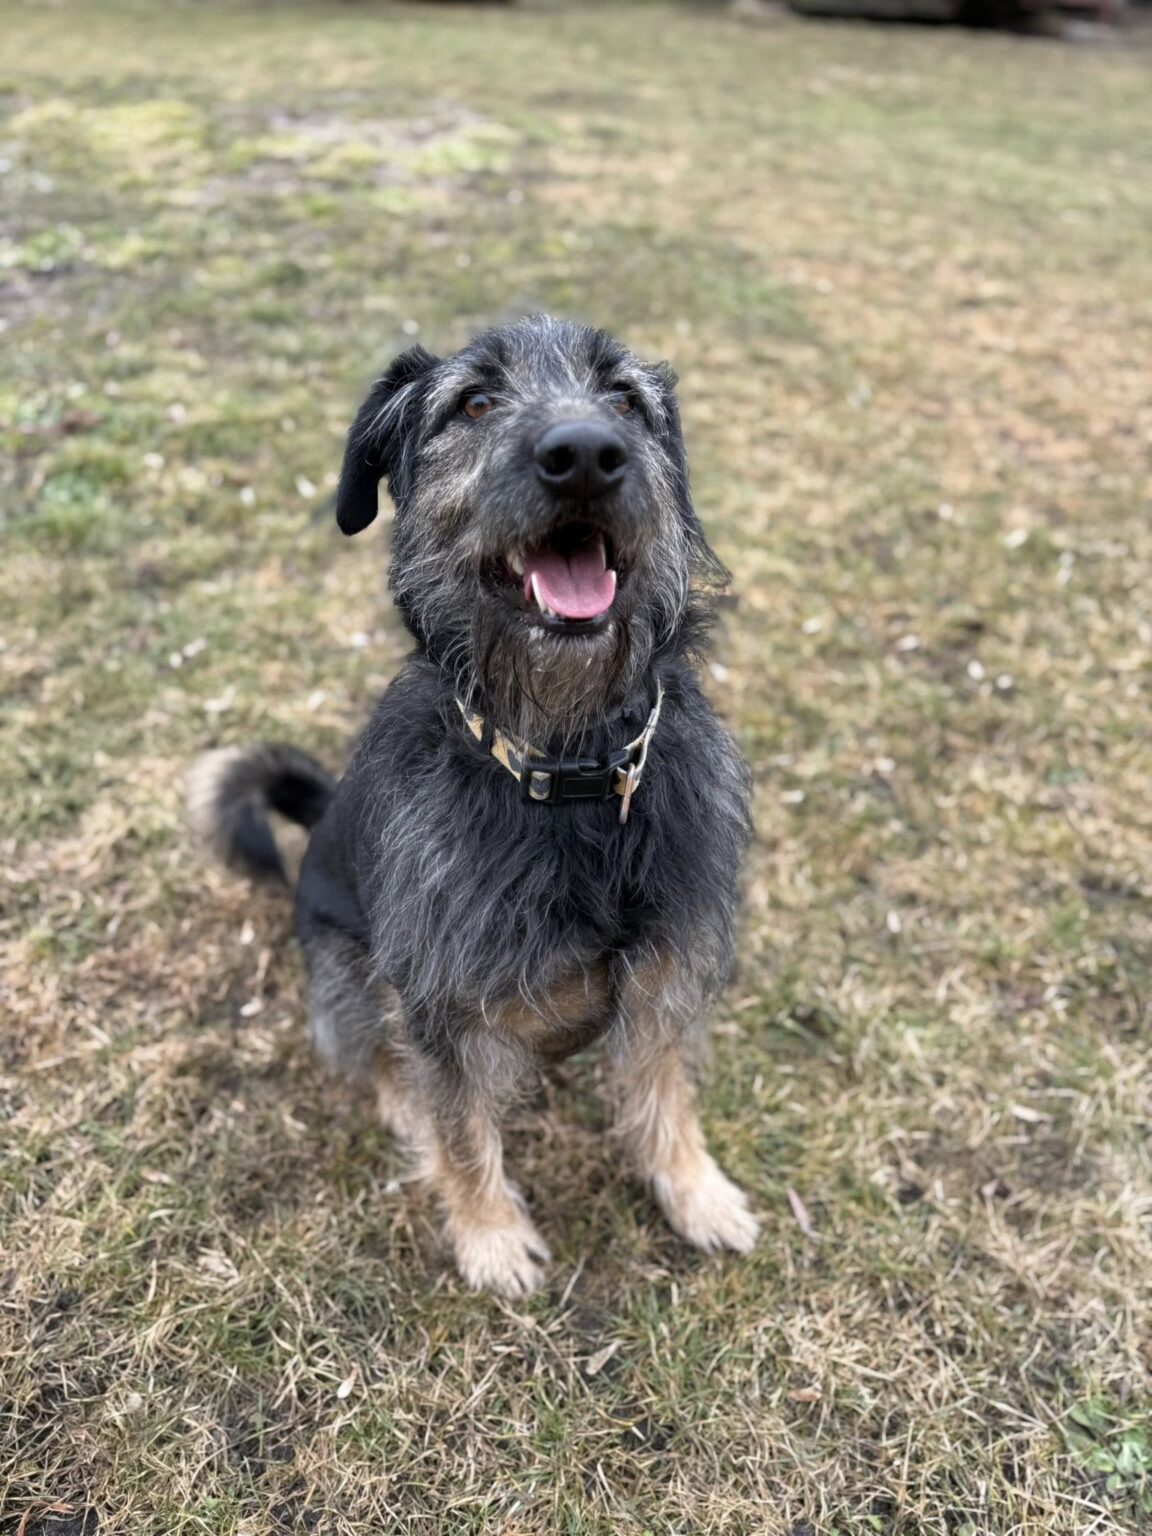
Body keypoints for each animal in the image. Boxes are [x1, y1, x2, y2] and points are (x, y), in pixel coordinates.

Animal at [190, 314, 757, 1297]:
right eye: (475, 402)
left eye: (624, 399)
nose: (586, 455)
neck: (570, 770)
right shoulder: (439, 1004)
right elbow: (459, 1125)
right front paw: (490, 1237)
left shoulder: (663, 971)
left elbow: (664, 1094)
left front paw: (696, 1192)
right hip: (345, 970)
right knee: (381, 1062)